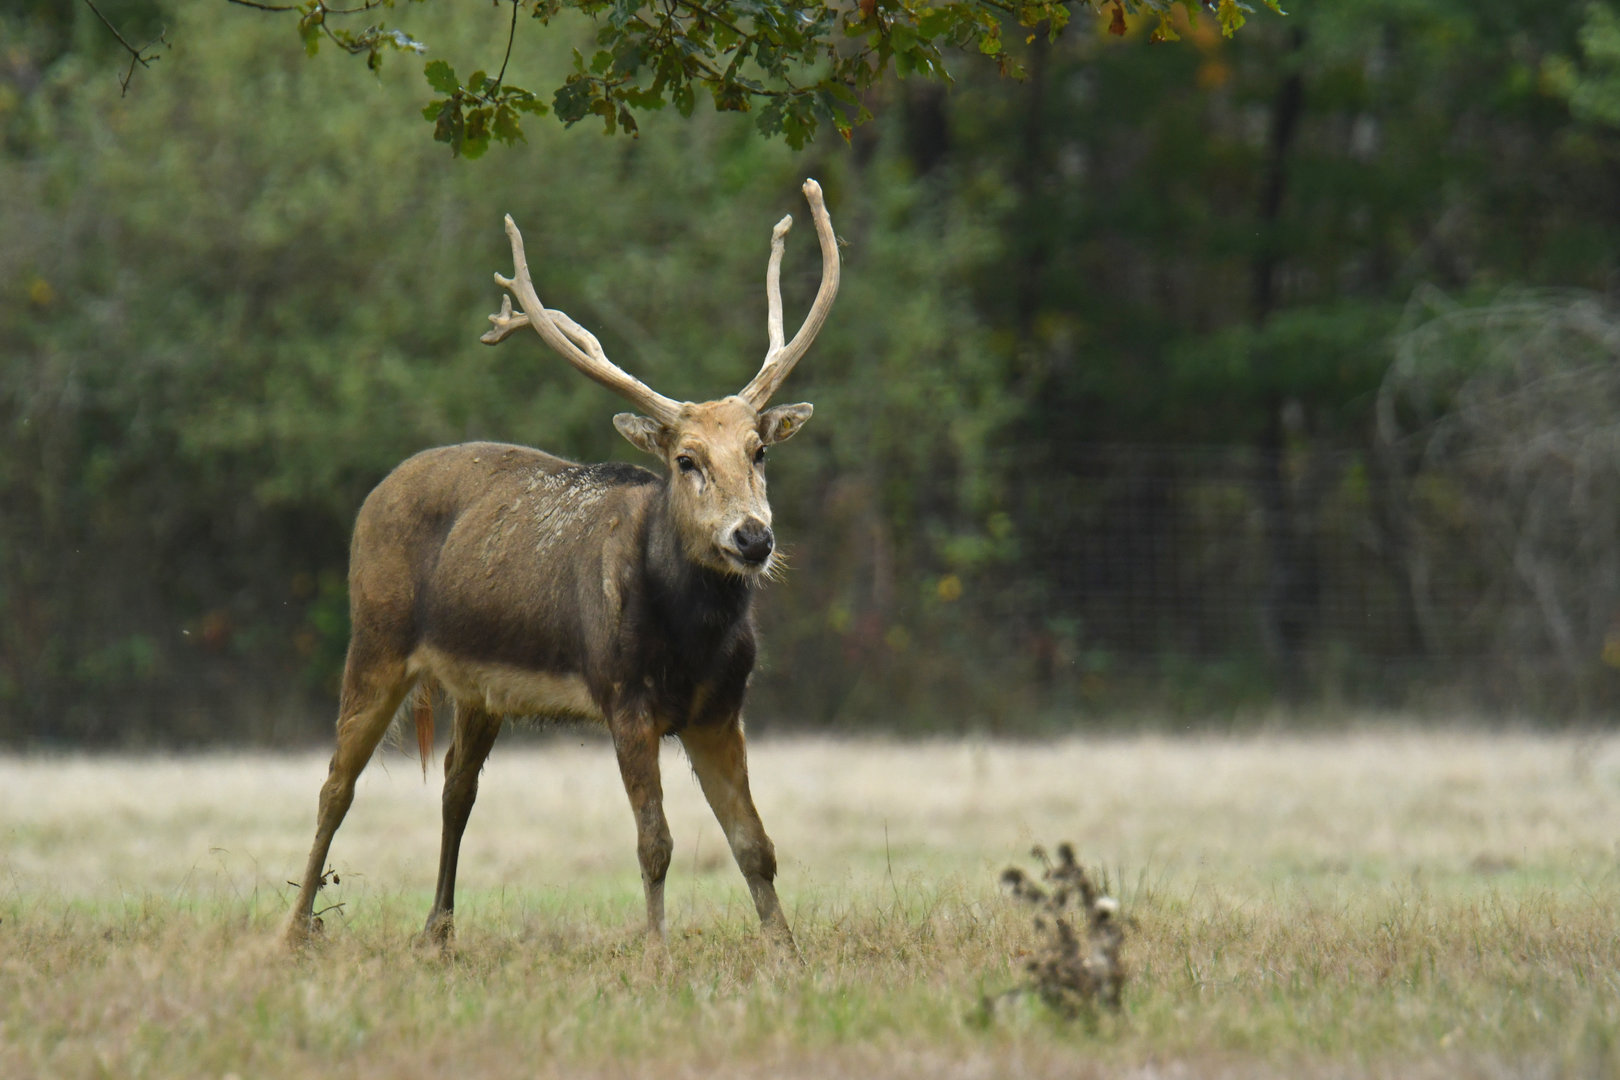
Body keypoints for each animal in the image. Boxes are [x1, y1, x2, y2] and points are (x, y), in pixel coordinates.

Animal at [284, 179, 839, 953]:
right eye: (685, 459)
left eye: (759, 451)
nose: (752, 537)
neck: (692, 642)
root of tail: (375, 493)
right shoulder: (623, 695)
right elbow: (656, 844)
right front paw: (656, 953)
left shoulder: (720, 709)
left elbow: (755, 844)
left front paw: (785, 954)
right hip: (376, 637)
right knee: (336, 784)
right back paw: (293, 929)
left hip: (476, 688)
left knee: (456, 788)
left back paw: (438, 932)